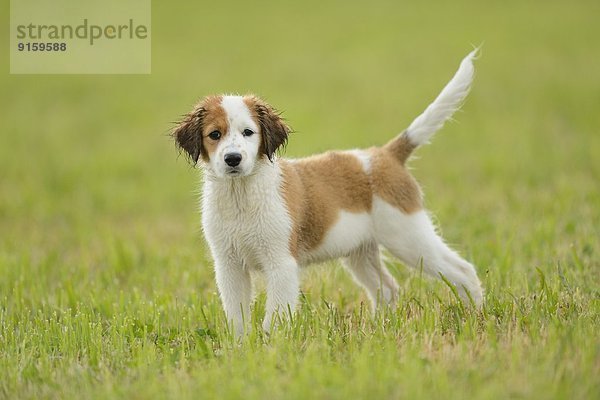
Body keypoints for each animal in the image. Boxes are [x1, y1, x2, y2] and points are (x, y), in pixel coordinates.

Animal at [172, 50, 482, 334]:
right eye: (215, 135)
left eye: (248, 132)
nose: (233, 159)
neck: (242, 196)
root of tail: (384, 155)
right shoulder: (229, 266)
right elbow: (237, 317)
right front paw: (240, 348)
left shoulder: (281, 263)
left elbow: (275, 317)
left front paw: (270, 347)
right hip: (361, 253)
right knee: (387, 288)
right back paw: (379, 327)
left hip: (408, 237)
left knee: (462, 270)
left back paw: (476, 316)